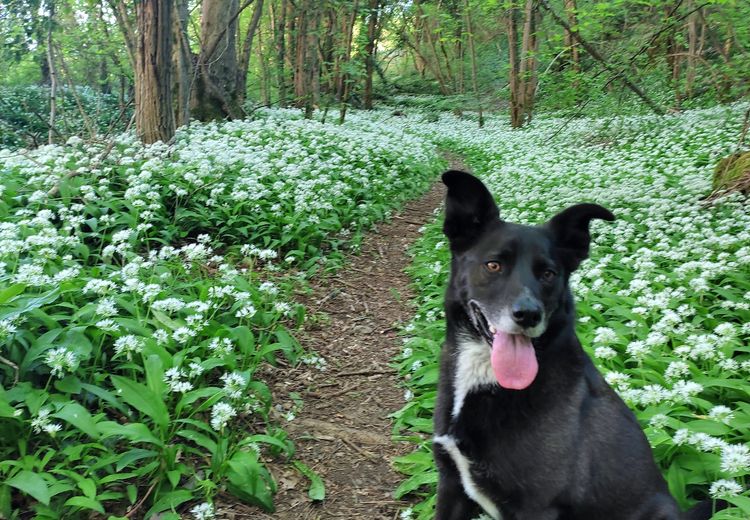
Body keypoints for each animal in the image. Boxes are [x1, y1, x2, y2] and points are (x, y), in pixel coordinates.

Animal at [434, 171, 716, 520]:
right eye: (493, 265)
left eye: (548, 273)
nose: (529, 314)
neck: (486, 378)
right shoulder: (451, 484)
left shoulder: (537, 506)